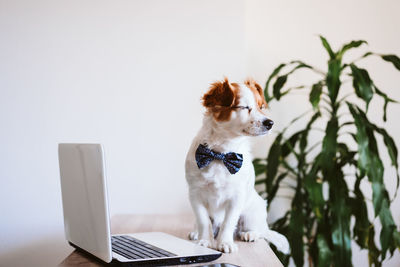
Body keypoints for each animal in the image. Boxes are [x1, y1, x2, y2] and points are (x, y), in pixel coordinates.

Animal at [184, 78, 290, 255]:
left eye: (261, 107)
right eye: (244, 107)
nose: (270, 123)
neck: (221, 154)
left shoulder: (236, 197)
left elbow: (228, 222)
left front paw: (225, 243)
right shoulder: (195, 194)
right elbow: (203, 221)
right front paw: (205, 241)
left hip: (252, 213)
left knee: (258, 231)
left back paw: (250, 234)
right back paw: (196, 232)